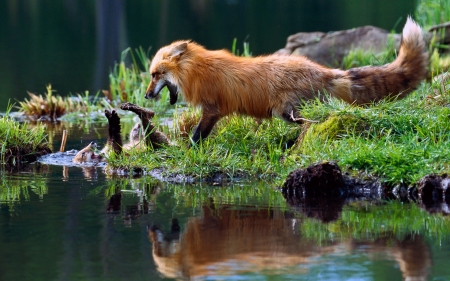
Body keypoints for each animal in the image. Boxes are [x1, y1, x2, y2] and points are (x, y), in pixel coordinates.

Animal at [146, 17, 428, 142]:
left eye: (155, 74)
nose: (147, 95)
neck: (196, 70)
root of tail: (322, 70)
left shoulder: (212, 109)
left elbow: (196, 135)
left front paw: (188, 149)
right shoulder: (214, 111)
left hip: (288, 112)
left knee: (314, 120)